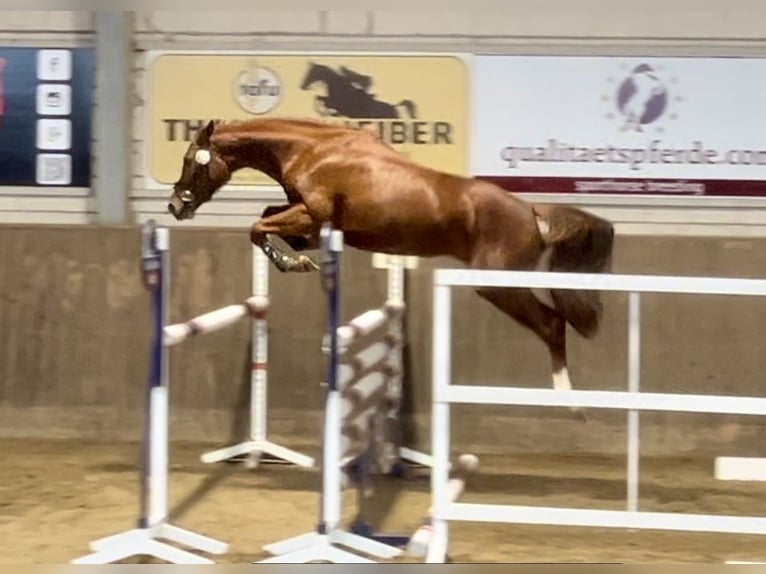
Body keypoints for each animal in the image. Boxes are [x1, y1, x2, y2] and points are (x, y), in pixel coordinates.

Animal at [167, 117, 614, 416]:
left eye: (191, 159)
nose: (175, 206)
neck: (313, 151)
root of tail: (532, 212)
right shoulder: (312, 221)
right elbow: (266, 219)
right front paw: (300, 258)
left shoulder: (313, 215)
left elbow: (258, 226)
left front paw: (294, 263)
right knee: (556, 318)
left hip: (497, 285)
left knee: (552, 324)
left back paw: (569, 401)